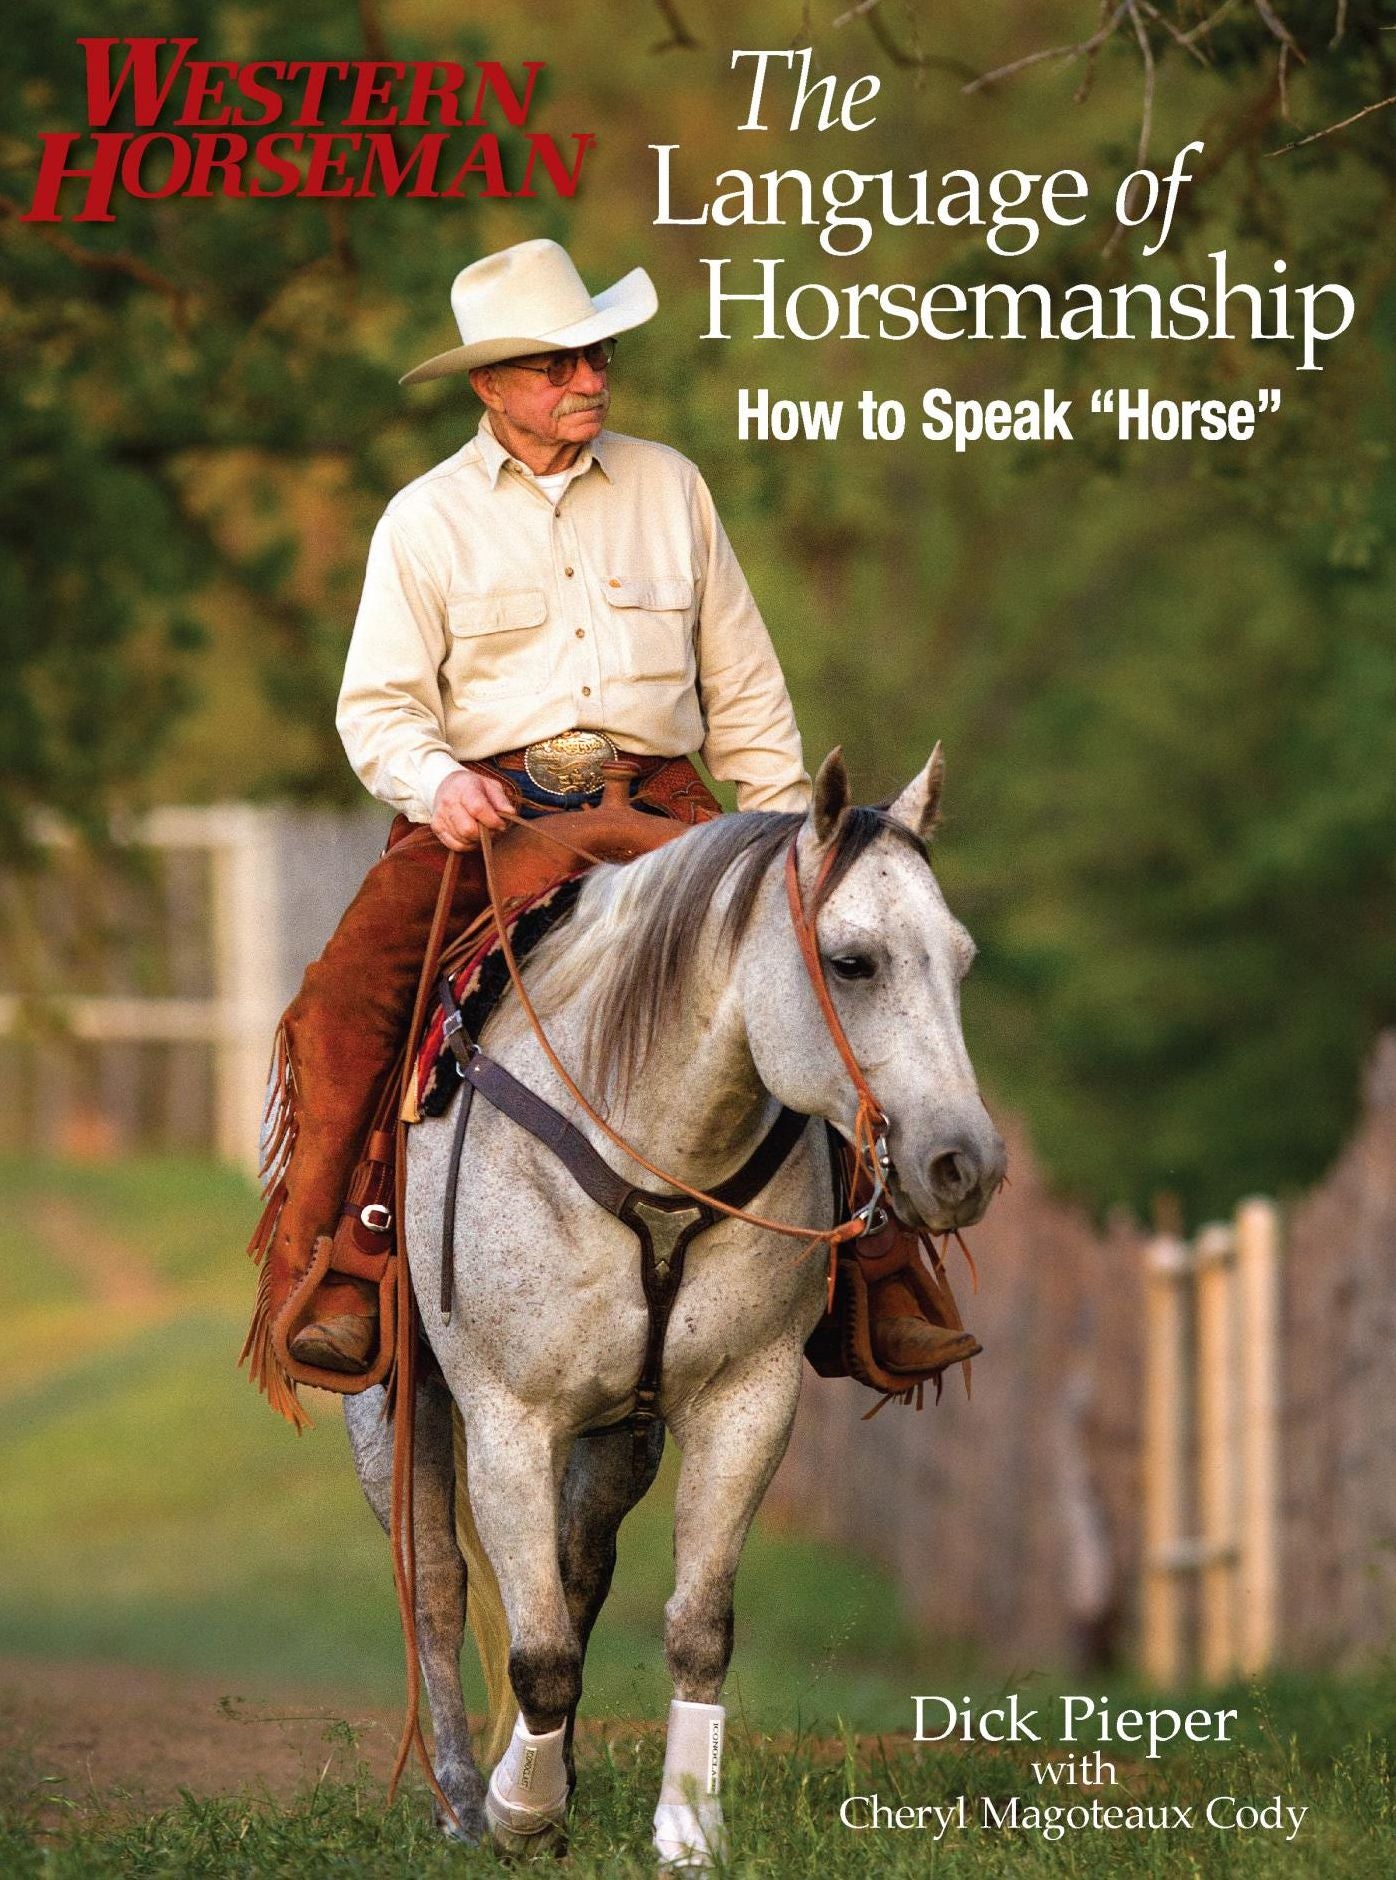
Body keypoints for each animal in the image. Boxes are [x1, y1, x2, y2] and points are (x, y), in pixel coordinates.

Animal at [343, 747, 1005, 1867]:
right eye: (852, 962)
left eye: (958, 960)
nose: (965, 1164)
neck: (653, 1144)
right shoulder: (510, 1417)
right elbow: (533, 1645)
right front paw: (518, 1815)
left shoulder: (744, 1404)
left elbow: (694, 1625)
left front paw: (688, 1824)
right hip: (395, 1406)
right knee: (434, 1585)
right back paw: (465, 1794)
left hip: (624, 1433)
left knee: (580, 1563)